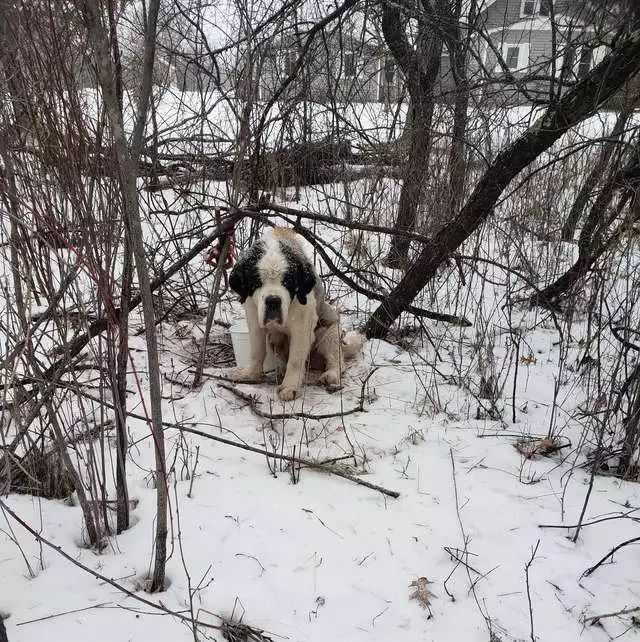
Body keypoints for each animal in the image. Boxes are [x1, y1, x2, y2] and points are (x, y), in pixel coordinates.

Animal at [228, 226, 362, 400]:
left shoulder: (302, 325)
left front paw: (289, 387)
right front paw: (251, 374)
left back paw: (330, 375)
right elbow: (257, 351)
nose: (273, 300)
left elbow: (296, 359)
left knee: (336, 359)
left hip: (330, 332)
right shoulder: (253, 316)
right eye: (257, 282)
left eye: (287, 282)